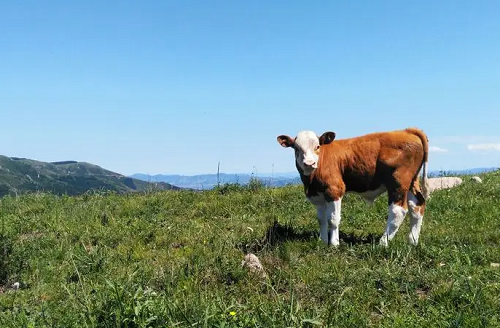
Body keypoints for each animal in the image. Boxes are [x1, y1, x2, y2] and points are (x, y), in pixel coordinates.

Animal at [278, 128, 430, 246]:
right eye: (297, 148)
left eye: (317, 147)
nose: (309, 163)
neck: (311, 181)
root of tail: (406, 131)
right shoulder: (318, 195)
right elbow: (321, 219)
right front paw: (322, 241)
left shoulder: (334, 189)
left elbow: (333, 219)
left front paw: (334, 244)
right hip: (412, 182)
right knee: (417, 207)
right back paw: (412, 241)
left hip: (398, 182)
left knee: (398, 211)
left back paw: (383, 243)